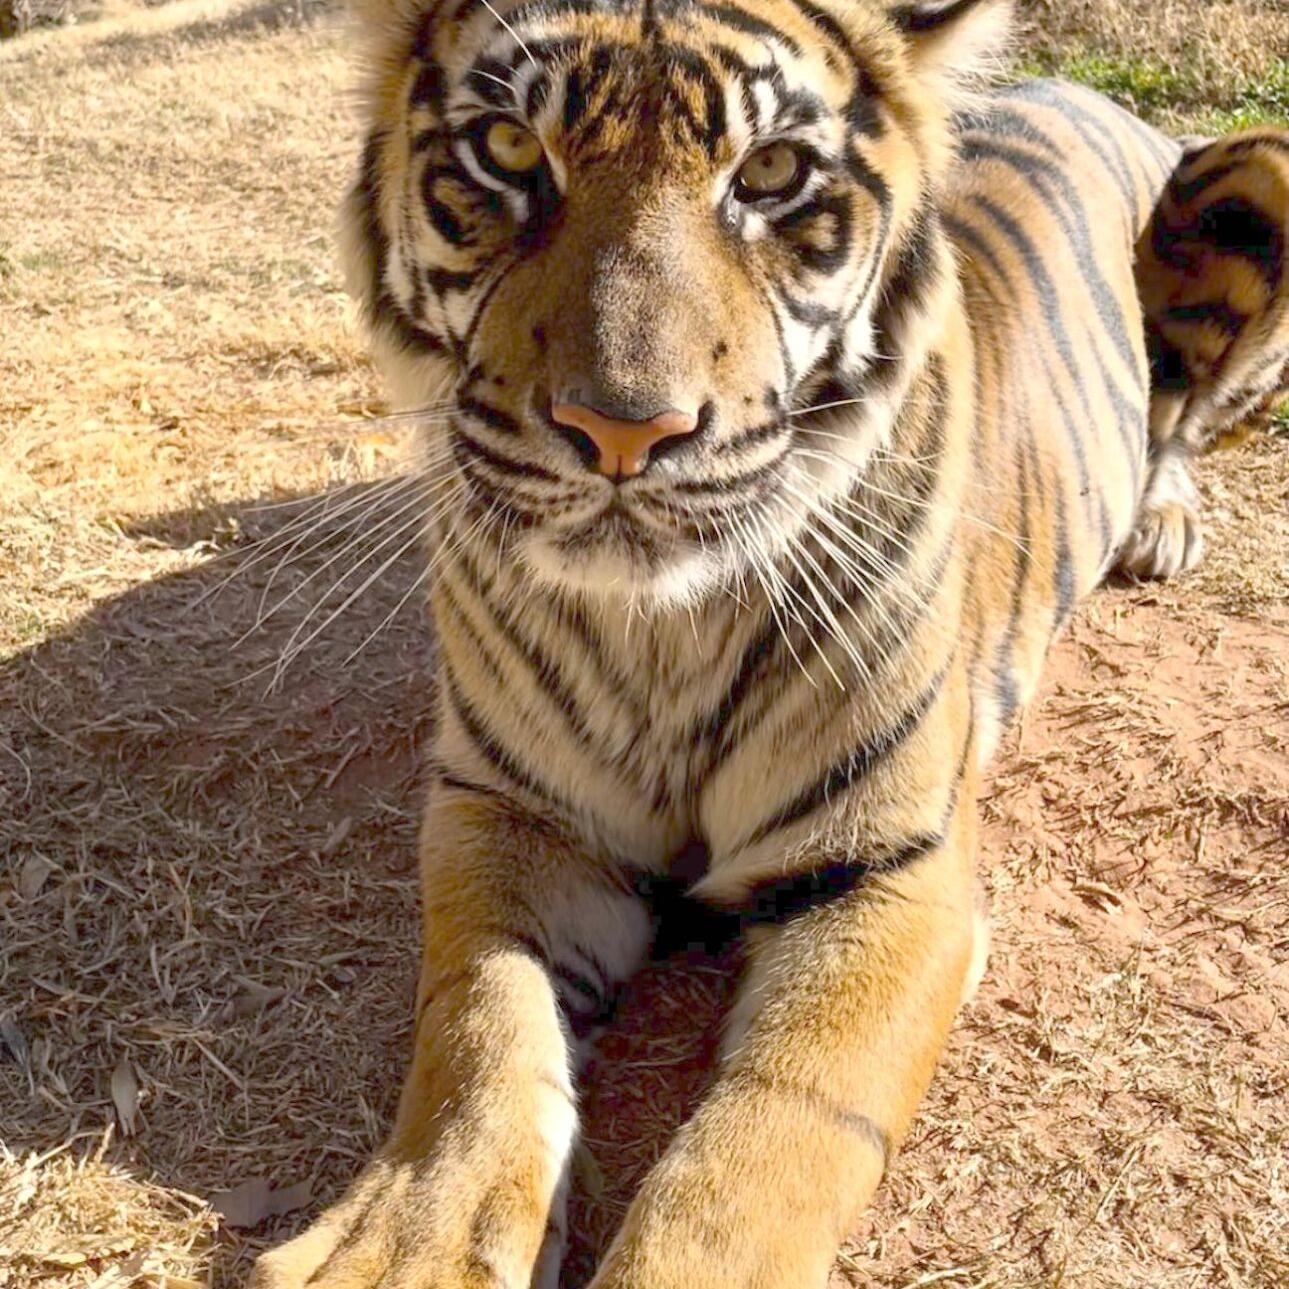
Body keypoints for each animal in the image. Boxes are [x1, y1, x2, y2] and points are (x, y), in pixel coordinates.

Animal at [250, 0, 1289, 1283]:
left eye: (771, 174)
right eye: (505, 151)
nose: (621, 429)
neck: (658, 627)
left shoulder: (888, 873)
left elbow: (753, 1155)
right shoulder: (509, 809)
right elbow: (478, 1022)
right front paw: (410, 1245)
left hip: (1253, 169)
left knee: (1178, 416)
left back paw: (1159, 522)